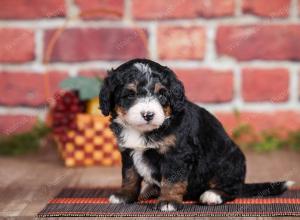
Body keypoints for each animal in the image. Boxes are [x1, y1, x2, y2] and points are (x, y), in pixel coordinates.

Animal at [99, 58, 296, 211]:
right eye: (130, 95)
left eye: (162, 95)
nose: (148, 114)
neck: (144, 130)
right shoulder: (127, 151)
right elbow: (129, 175)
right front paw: (124, 196)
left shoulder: (177, 154)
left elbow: (172, 179)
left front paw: (168, 201)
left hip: (227, 163)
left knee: (233, 189)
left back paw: (212, 195)